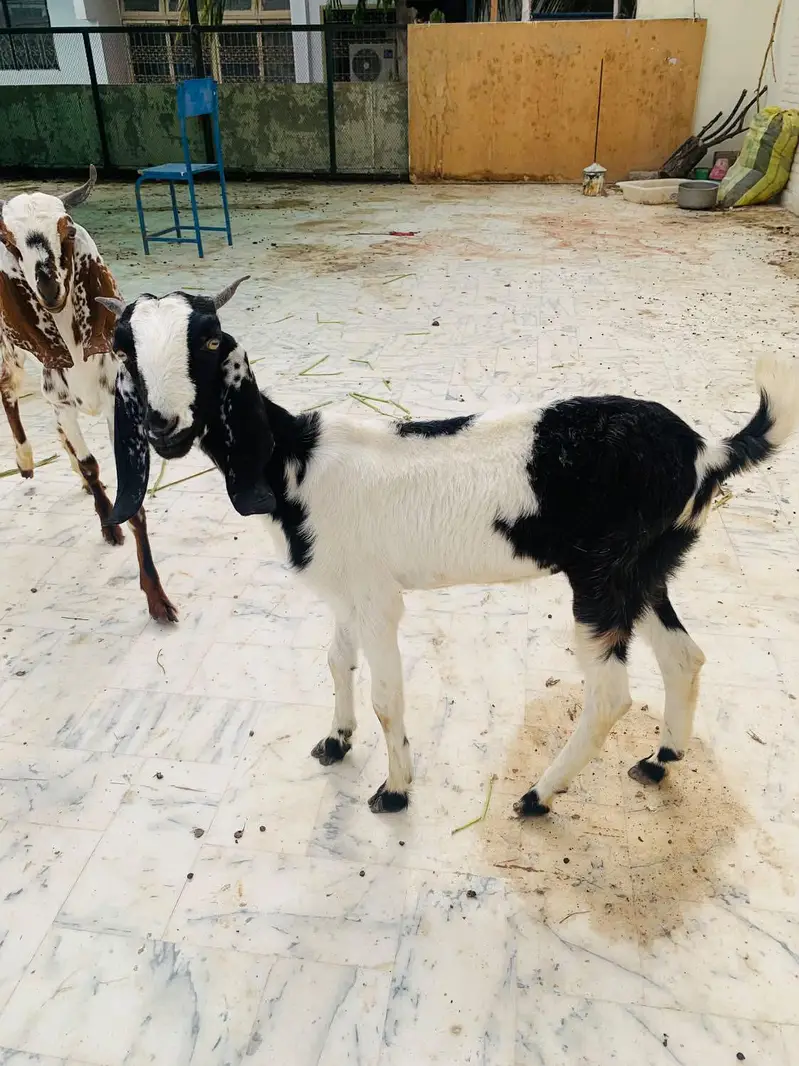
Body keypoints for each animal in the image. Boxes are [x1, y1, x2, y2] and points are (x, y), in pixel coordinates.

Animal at [0, 168, 175, 623]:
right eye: (8, 240)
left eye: (65, 228)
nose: (48, 287)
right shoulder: (59, 400)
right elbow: (92, 465)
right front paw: (108, 525)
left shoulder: (119, 404)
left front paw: (156, 597)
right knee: (8, 393)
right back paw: (25, 461)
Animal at [98, 281, 799, 815]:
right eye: (125, 348)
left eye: (210, 341)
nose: (164, 426)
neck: (294, 461)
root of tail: (706, 451)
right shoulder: (348, 591)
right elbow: (336, 661)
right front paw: (335, 741)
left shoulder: (377, 600)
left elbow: (387, 698)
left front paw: (395, 790)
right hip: (645, 570)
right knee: (685, 658)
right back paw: (660, 760)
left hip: (602, 581)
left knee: (610, 696)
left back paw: (538, 796)